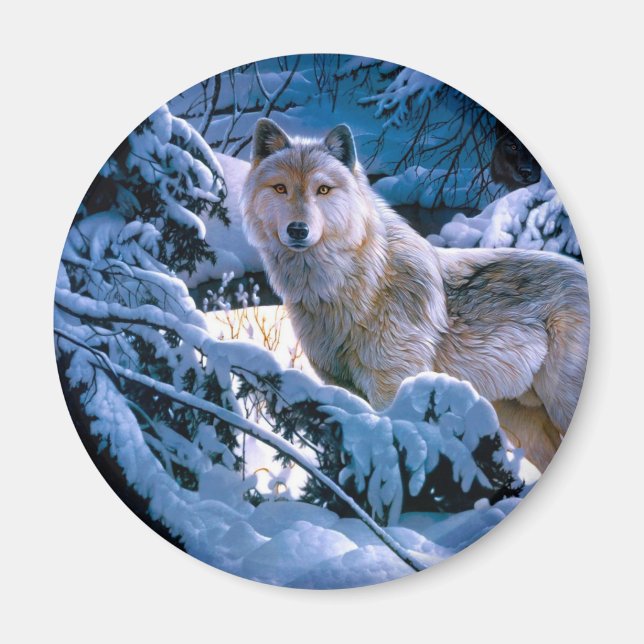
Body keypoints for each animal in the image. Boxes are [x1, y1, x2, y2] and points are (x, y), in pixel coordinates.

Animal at [240, 119, 589, 472]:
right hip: (521, 422)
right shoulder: (340, 388)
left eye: (323, 190)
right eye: (280, 188)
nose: (298, 230)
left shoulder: (393, 389)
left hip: (560, 403)